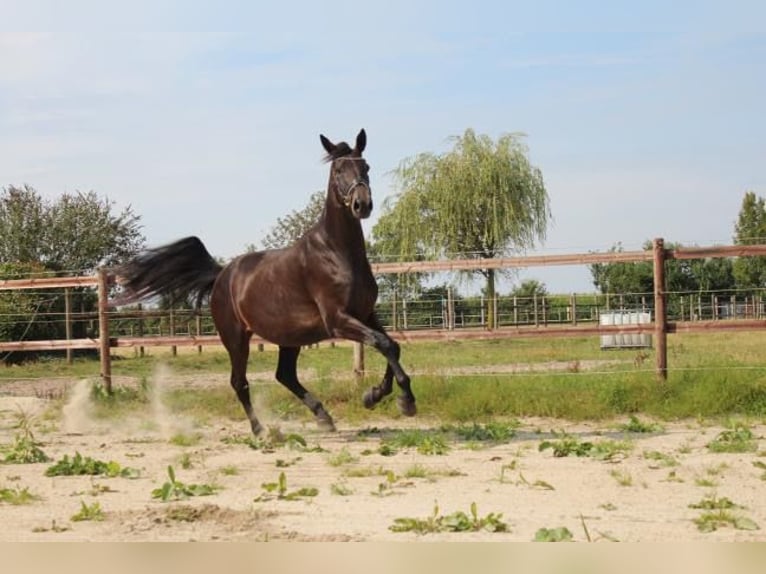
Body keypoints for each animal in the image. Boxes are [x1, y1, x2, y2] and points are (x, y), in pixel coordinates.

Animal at [119, 130, 416, 436]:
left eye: (365, 166)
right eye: (338, 170)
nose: (362, 205)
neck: (337, 252)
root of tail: (223, 274)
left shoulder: (365, 314)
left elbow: (392, 345)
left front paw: (375, 396)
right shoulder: (338, 319)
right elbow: (383, 343)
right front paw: (404, 401)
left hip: (291, 336)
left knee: (284, 375)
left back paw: (323, 417)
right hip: (236, 338)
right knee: (239, 382)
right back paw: (261, 430)